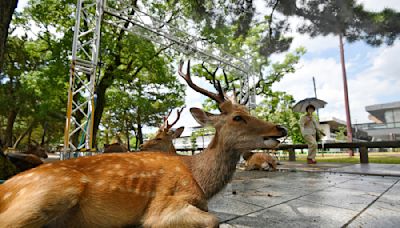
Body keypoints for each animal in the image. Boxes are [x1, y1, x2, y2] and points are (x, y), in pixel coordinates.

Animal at [0, 61, 288, 228]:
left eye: (247, 111)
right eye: (238, 117)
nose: (281, 128)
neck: (199, 180)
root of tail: (5, 190)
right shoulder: (165, 204)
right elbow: (213, 220)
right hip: (50, 193)